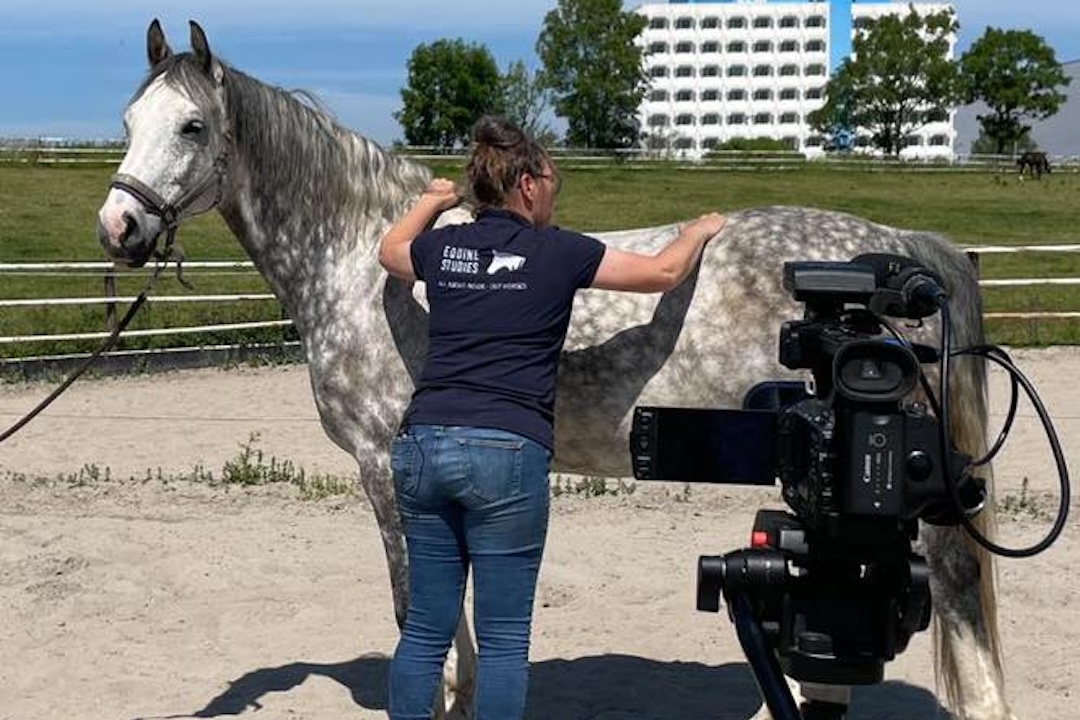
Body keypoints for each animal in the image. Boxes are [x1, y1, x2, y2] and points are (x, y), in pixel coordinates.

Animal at [96, 20, 1017, 720]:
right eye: (130, 119)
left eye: (193, 127)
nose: (119, 227)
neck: (364, 260)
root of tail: (902, 250)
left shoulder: (385, 468)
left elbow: (418, 609)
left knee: (953, 596)